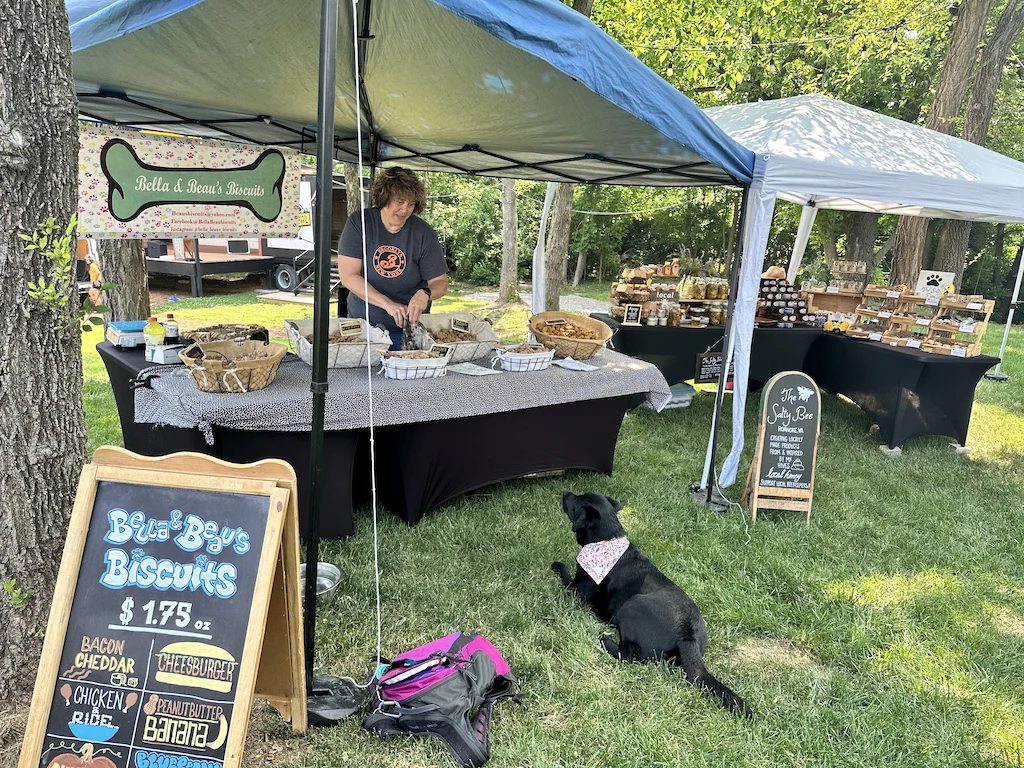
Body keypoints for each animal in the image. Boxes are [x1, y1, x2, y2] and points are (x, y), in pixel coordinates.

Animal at [552, 493, 753, 720]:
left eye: (577, 501)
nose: (565, 493)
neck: (606, 539)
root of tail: (687, 634)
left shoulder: (578, 591)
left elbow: (565, 575)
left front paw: (557, 565)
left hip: (631, 605)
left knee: (629, 656)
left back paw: (605, 641)